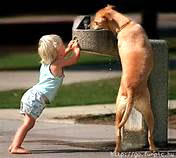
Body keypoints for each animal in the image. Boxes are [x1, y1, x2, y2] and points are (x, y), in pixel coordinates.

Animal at [91, 4, 157, 153]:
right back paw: (153, 149)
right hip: (147, 111)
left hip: (121, 111)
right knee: (150, 134)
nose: (89, 25)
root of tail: (131, 90)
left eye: (96, 22)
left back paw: (118, 150)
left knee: (118, 133)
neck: (125, 25)